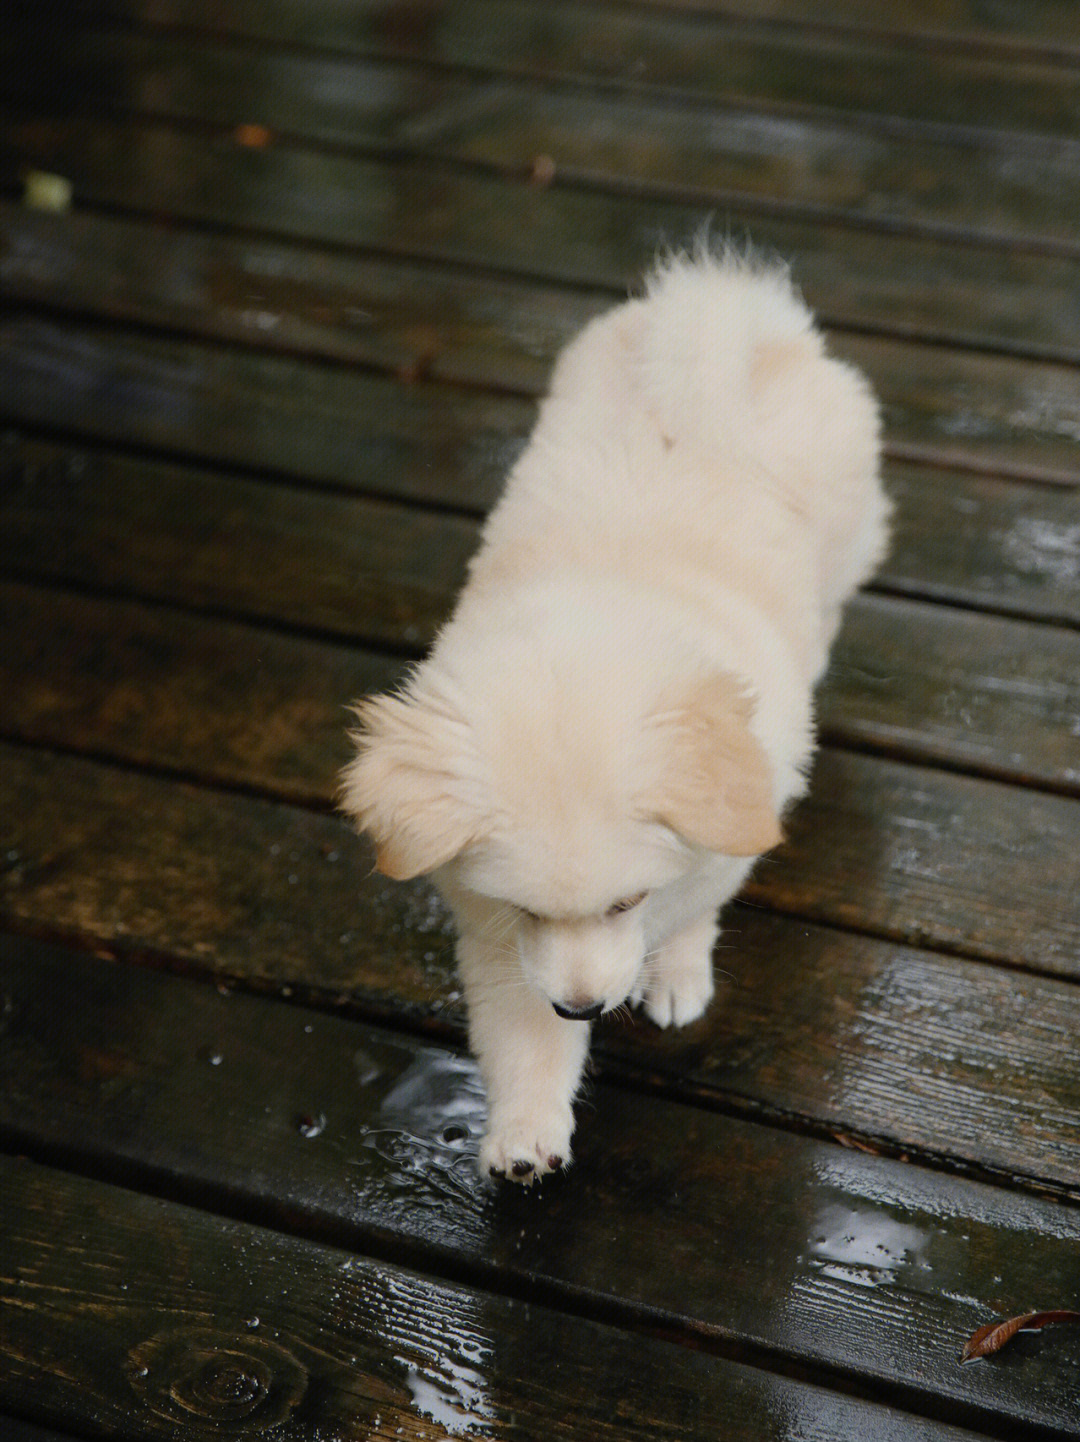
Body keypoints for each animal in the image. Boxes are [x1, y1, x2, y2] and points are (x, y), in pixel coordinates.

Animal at [341, 250, 888, 1182]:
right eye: (527, 911)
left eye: (629, 900)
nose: (582, 1007)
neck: (599, 606)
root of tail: (735, 315)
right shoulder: (501, 940)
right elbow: (518, 1034)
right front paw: (525, 1130)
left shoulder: (727, 835)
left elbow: (698, 904)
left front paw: (675, 972)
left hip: (842, 541)